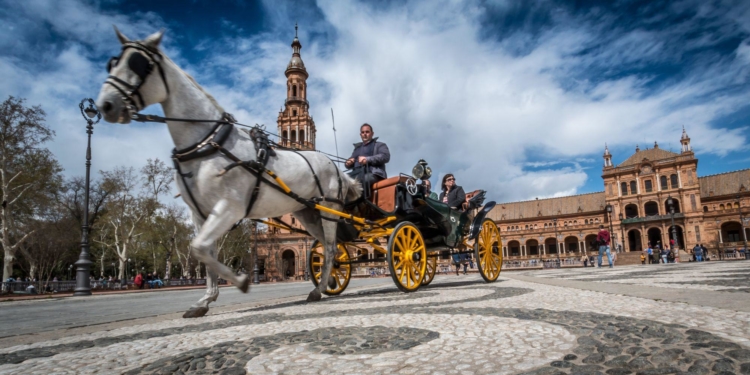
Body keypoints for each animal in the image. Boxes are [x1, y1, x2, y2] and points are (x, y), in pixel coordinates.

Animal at [96, 27, 362, 318]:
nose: (105, 104)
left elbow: (200, 249)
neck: (208, 142)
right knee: (329, 247)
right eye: (112, 63)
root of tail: (335, 168)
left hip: (328, 210)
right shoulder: (201, 214)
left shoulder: (229, 207)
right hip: (308, 213)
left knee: (330, 247)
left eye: (138, 63)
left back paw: (319, 288)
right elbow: (204, 252)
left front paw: (241, 281)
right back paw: (328, 283)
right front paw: (205, 300)